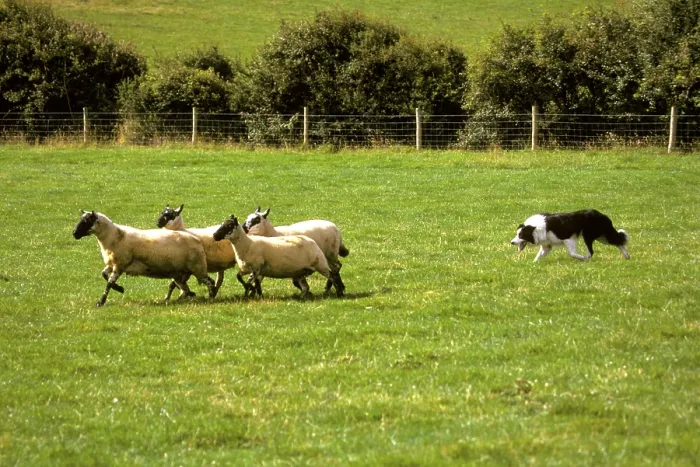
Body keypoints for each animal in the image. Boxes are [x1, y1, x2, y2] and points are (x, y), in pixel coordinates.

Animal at [73, 210, 216, 307]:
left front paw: (101, 302)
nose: (74, 234)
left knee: (210, 281)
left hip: (197, 267)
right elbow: (103, 274)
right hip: (182, 272)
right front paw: (120, 289)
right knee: (185, 289)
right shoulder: (113, 264)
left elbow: (108, 283)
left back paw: (211, 296)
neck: (114, 237)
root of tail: (197, 240)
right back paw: (184, 297)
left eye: (87, 221)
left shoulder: (120, 264)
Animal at [212, 215, 341, 299]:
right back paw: (301, 297)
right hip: (301, 271)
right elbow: (240, 277)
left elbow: (250, 283)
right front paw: (253, 294)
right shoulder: (248, 269)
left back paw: (339, 292)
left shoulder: (256, 268)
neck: (248, 244)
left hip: (321, 264)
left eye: (229, 226)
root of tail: (312, 242)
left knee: (333, 275)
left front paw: (250, 293)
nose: (214, 235)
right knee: (306, 287)